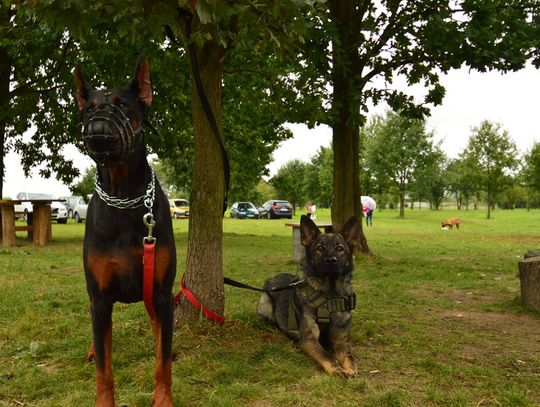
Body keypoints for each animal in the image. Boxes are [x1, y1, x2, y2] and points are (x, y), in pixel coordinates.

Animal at [258, 215, 360, 378]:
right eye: (320, 248)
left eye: (340, 248)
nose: (331, 261)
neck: (329, 296)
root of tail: (273, 277)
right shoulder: (310, 340)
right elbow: (327, 356)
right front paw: (337, 369)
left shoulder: (341, 341)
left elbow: (349, 358)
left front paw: (349, 369)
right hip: (265, 305)